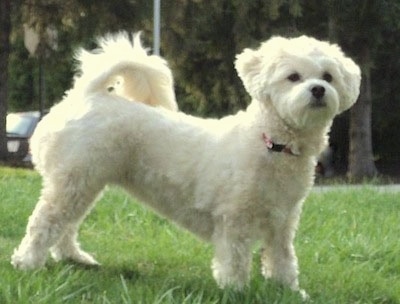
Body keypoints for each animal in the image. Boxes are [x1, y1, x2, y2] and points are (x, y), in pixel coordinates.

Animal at [10, 32, 360, 296]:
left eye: (328, 76)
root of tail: (87, 95)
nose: (318, 89)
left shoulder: (282, 222)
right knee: (45, 223)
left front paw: (289, 291)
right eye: (293, 77)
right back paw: (26, 263)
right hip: (73, 181)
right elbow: (235, 259)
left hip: (83, 181)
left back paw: (74, 258)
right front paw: (236, 290)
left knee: (65, 225)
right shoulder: (233, 220)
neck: (270, 143)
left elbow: (283, 259)